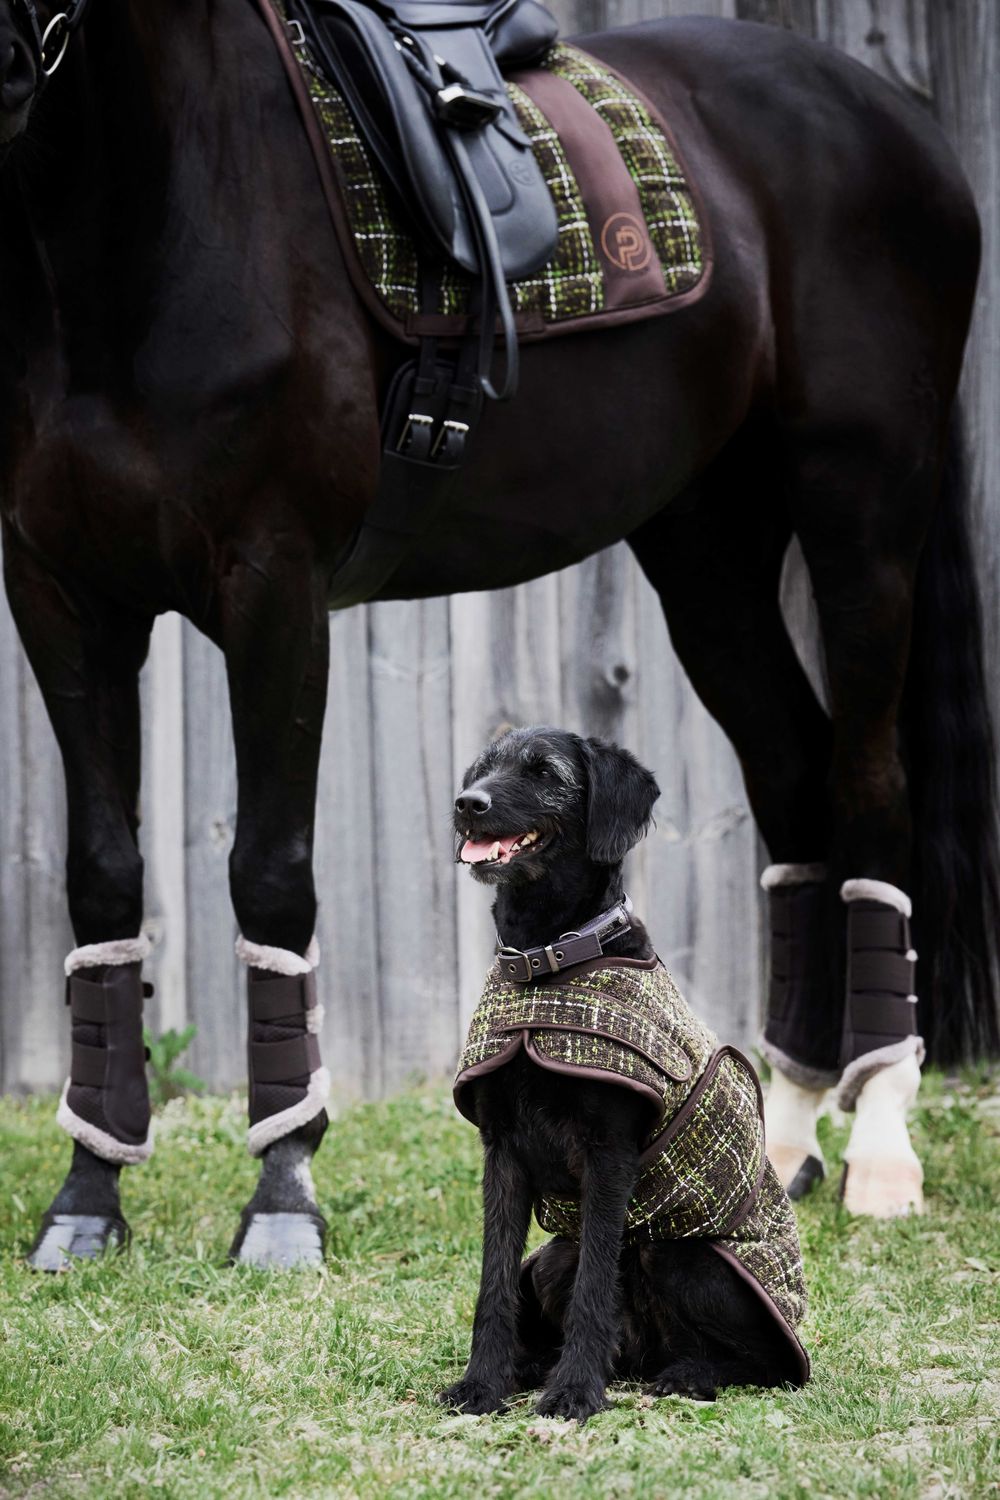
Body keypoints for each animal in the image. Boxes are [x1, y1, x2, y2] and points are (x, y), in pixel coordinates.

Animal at [1, 0, 996, 1269]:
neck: (153, 211)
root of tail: (893, 121)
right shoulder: (59, 595)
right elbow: (101, 881)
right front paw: (87, 1198)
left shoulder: (274, 590)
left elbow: (269, 876)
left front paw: (282, 1197)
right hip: (709, 552)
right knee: (795, 783)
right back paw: (776, 1140)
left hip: (861, 517)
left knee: (869, 791)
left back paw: (878, 1146)